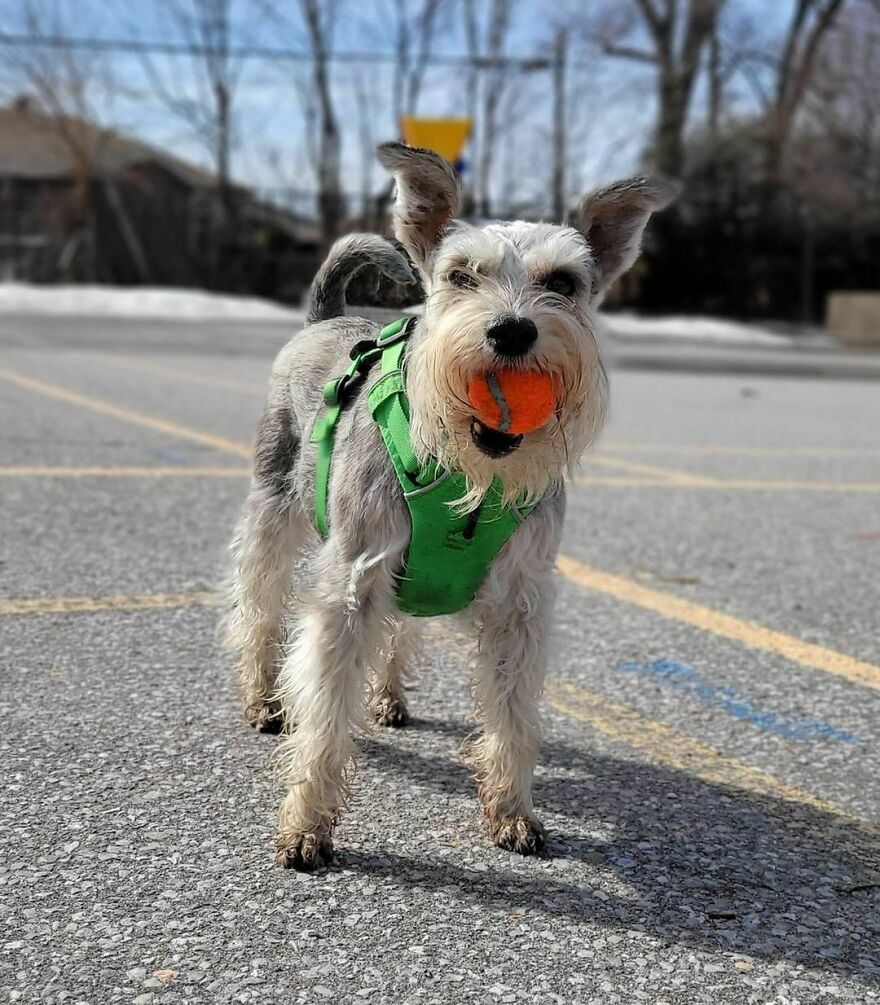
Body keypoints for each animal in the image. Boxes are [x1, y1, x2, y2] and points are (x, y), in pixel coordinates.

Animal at [222, 143, 675, 872]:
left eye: (564, 282)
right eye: (462, 275)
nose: (513, 330)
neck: (472, 474)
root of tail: (326, 317)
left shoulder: (521, 604)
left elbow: (514, 715)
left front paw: (513, 812)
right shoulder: (351, 584)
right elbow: (323, 710)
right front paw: (307, 824)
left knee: (404, 628)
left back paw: (389, 696)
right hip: (272, 509)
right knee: (258, 606)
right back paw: (262, 698)